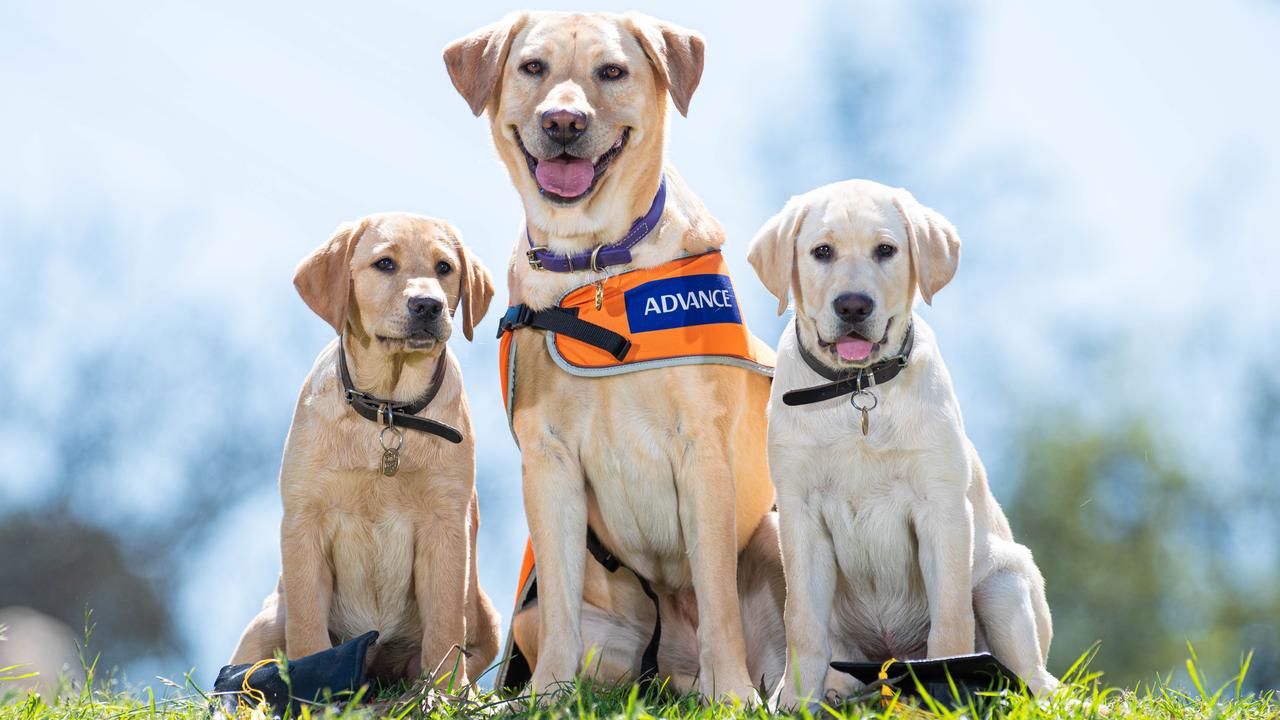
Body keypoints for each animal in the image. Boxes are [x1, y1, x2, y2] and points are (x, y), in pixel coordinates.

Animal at [232, 211, 501, 681]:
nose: (427, 305)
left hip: (486, 616)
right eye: (385, 264)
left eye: (444, 268)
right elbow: (307, 625)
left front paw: (446, 690)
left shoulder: (446, 523)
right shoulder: (304, 520)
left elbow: (446, 622)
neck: (388, 410)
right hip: (265, 623)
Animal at [440, 11, 783, 696]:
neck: (596, 263)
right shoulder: (549, 460)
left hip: (781, 533)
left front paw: (733, 694)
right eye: (533, 67)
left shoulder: (703, 451)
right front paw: (545, 693)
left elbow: (717, 594)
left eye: (612, 71)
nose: (562, 123)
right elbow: (562, 602)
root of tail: (672, 676)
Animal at [747, 180, 1059, 707]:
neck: (857, 390)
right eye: (822, 252)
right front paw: (795, 701)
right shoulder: (798, 513)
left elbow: (950, 623)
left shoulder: (942, 509)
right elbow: (802, 623)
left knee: (1032, 678)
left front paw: (948, 686)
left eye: (886, 250)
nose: (853, 306)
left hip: (1005, 581)